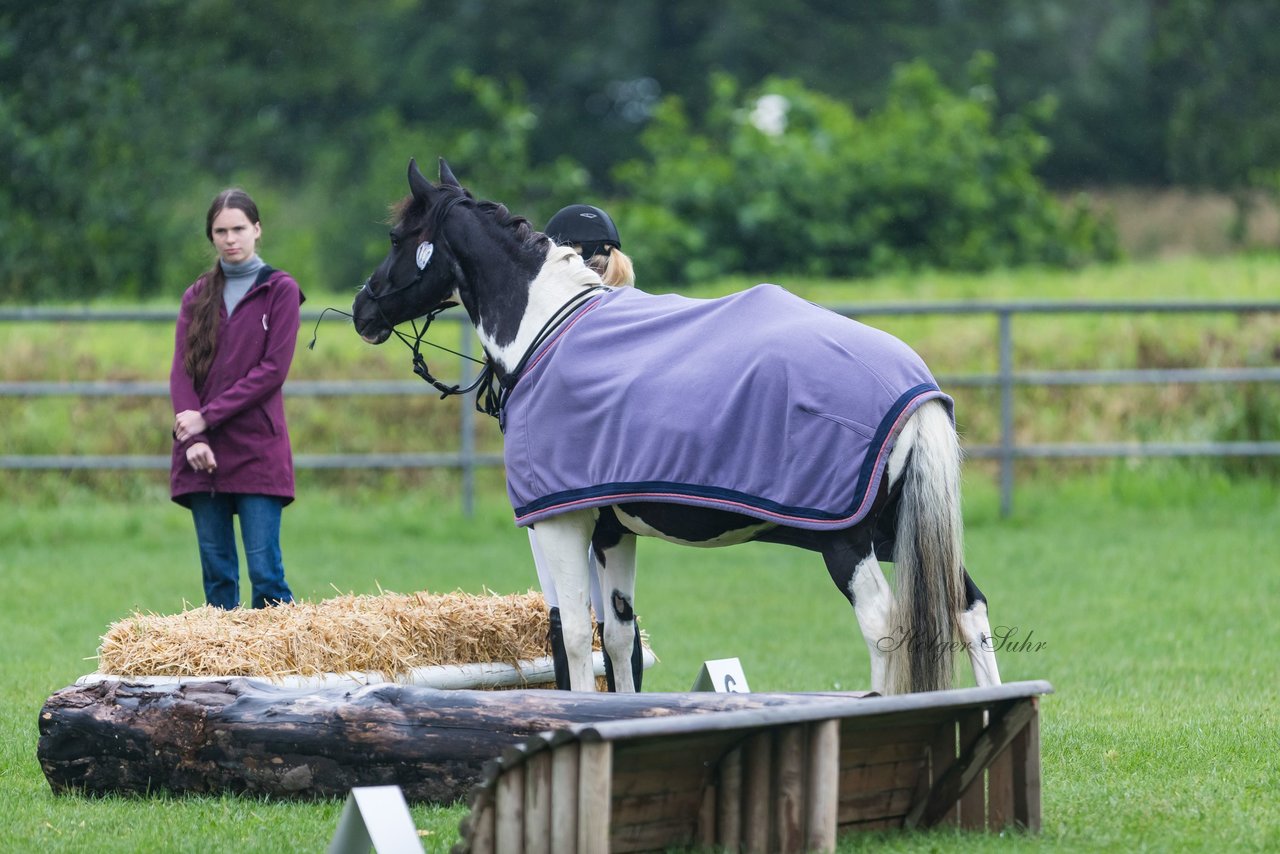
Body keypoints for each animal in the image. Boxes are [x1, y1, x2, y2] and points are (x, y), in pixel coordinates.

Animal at [355, 158, 1003, 696]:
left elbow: (572, 637)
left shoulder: (560, 525)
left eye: (397, 238)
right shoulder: (611, 531)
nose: (363, 309)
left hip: (848, 540)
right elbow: (618, 639)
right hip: (900, 527)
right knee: (967, 609)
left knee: (883, 625)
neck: (548, 328)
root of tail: (915, 391)